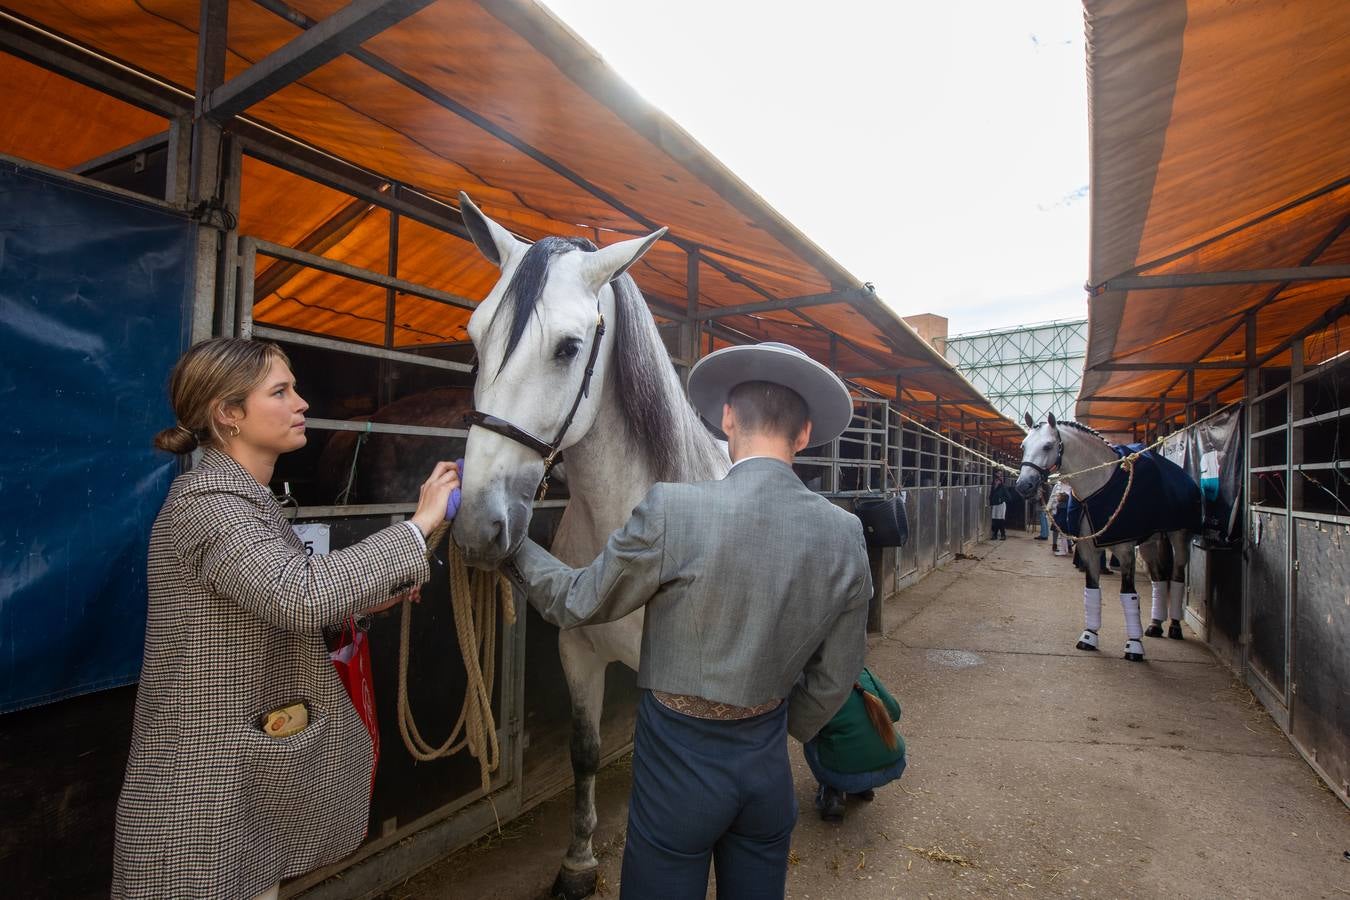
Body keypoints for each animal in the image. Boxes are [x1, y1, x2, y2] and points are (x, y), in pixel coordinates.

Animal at [450, 195, 729, 900]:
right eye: (474, 336)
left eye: (569, 347)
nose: (478, 529)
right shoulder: (577, 651)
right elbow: (585, 752)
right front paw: (577, 864)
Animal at [1015, 415, 1193, 661]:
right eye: (1023, 446)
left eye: (1048, 446)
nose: (1024, 485)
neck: (1098, 485)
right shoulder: (1089, 549)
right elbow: (1092, 590)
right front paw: (1089, 636)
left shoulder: (1125, 552)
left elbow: (1128, 594)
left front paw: (1134, 646)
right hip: (1150, 543)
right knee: (1158, 579)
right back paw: (1155, 625)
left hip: (1179, 537)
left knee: (1177, 576)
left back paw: (1174, 626)